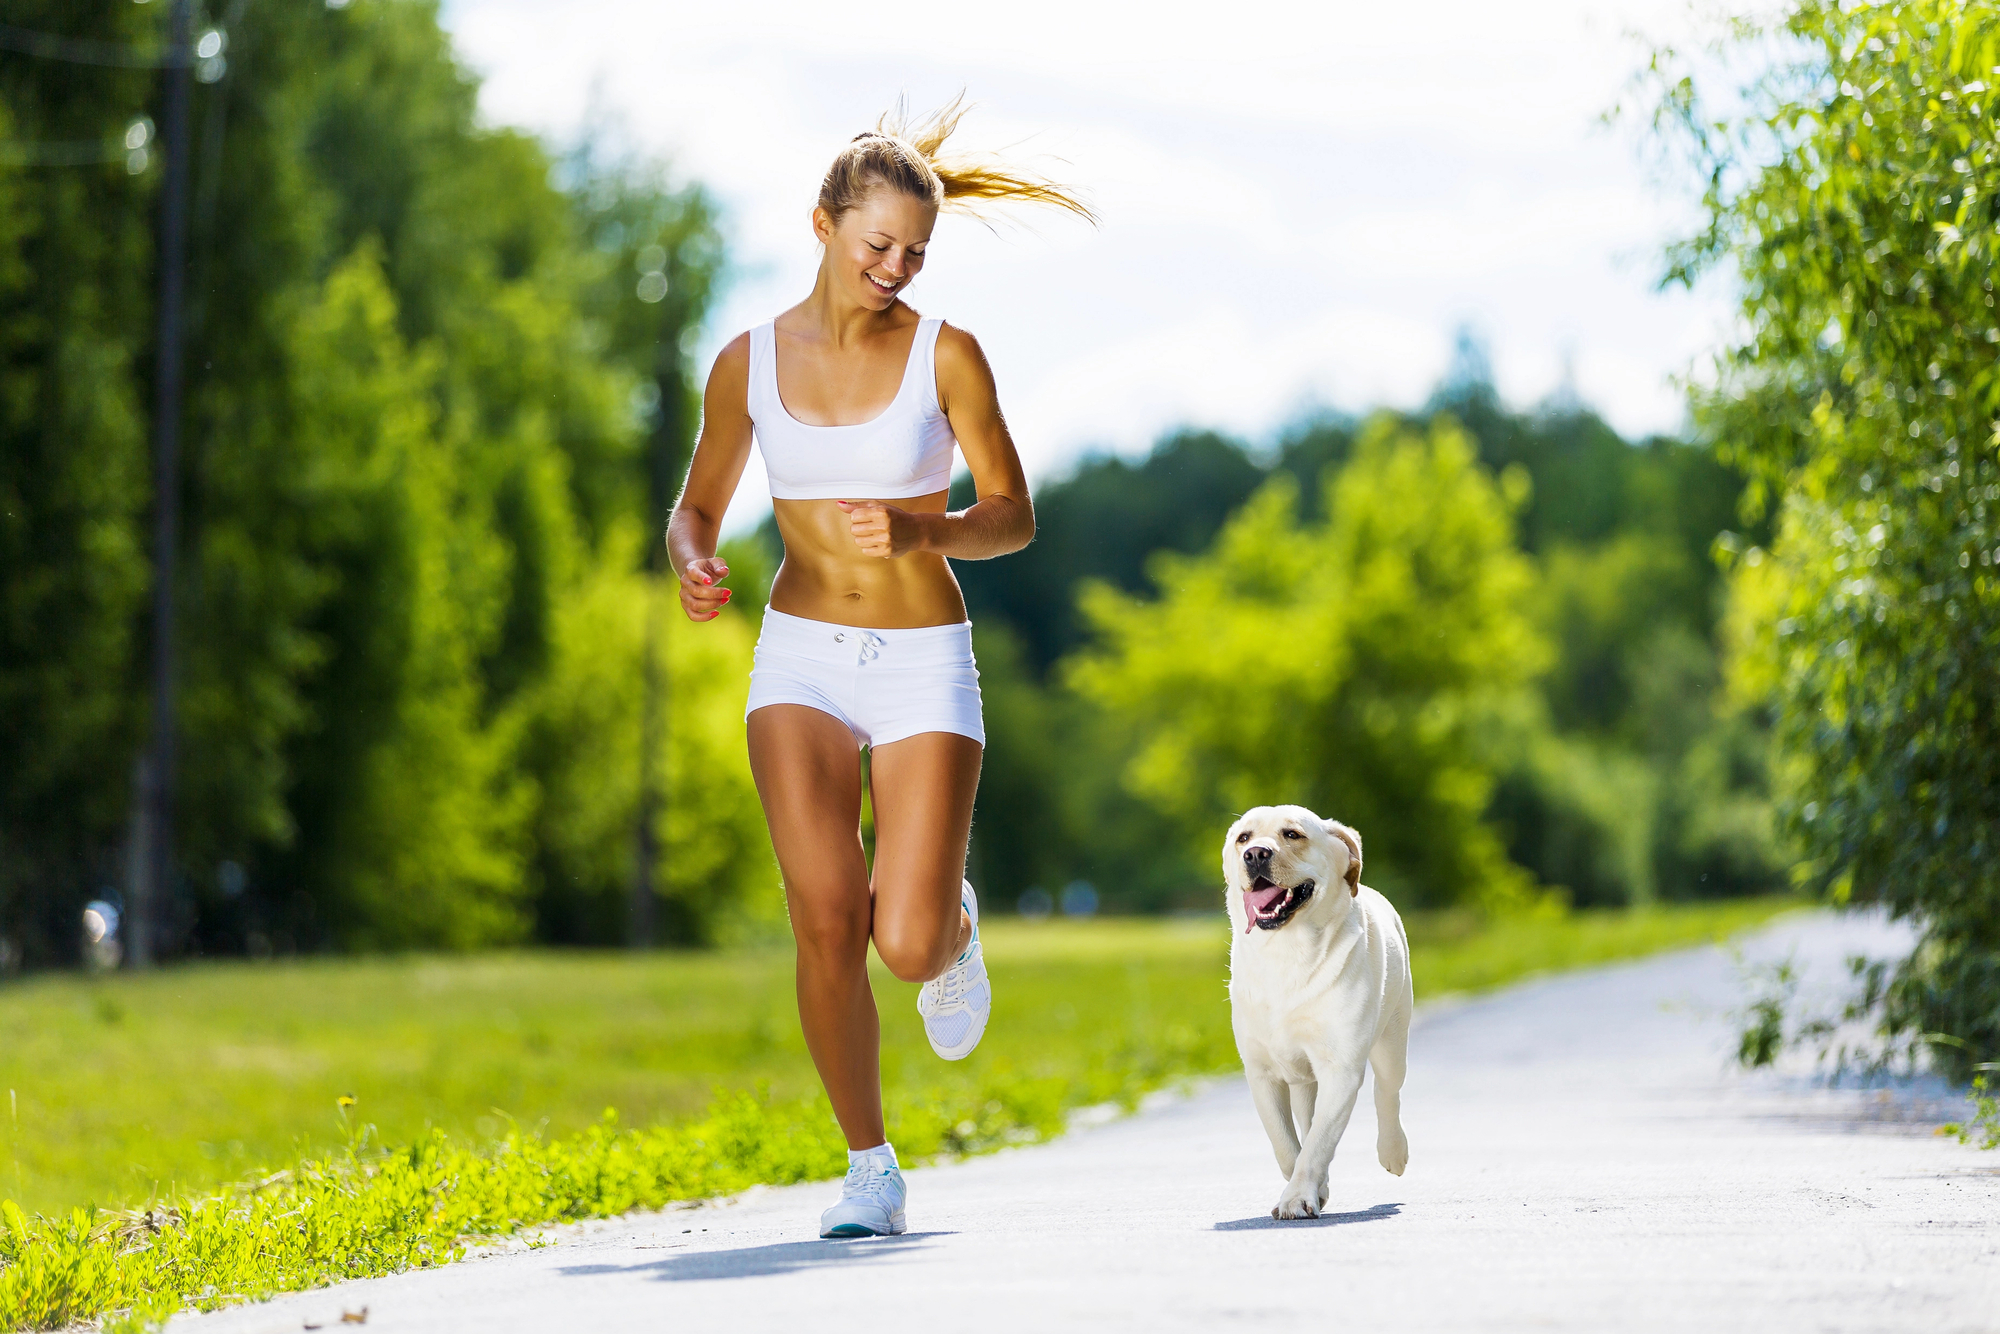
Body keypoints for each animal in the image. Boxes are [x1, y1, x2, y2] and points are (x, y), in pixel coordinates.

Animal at [1224, 804, 1416, 1224]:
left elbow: (1318, 1141)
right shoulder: (1262, 1072)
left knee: (1387, 1092)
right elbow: (1286, 1142)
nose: (1256, 854)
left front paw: (1298, 1197)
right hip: (1302, 1079)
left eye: (1293, 835)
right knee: (1307, 1116)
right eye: (1244, 838)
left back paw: (1393, 1152)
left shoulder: (1340, 1067)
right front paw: (1312, 1188)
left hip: (1393, 1040)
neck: (1286, 950)